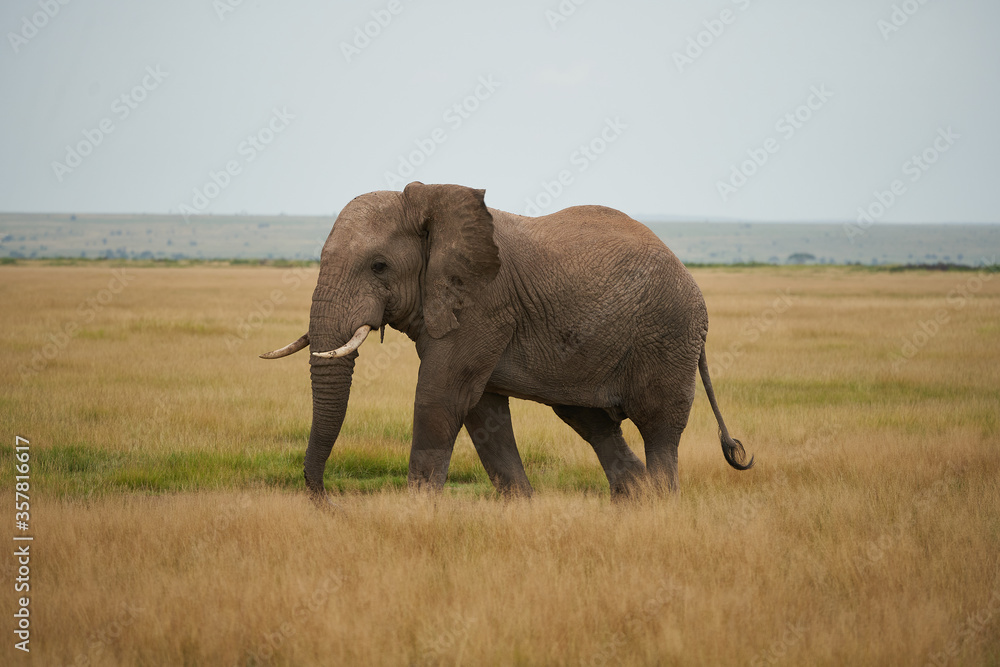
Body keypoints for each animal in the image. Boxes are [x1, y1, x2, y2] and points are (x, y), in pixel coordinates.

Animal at [261, 182, 753, 500]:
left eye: (378, 266)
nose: (328, 501)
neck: (432, 205)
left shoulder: (483, 302)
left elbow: (441, 396)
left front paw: (417, 509)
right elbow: (482, 410)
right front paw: (521, 506)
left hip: (670, 336)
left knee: (659, 429)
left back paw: (661, 506)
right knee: (592, 422)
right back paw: (636, 499)